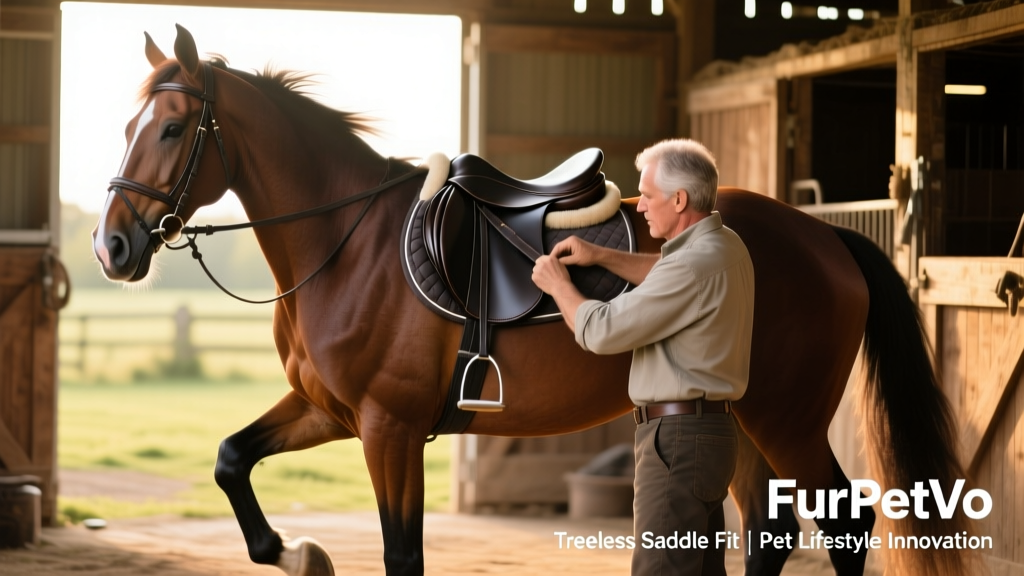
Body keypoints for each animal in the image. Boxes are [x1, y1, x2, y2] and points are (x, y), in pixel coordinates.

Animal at [92, 25, 974, 576]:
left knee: (845, 523)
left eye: (171, 129)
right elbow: (230, 459)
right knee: (770, 529)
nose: (112, 248)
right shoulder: (331, 412)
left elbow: (403, 553)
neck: (347, 243)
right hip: (748, 416)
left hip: (786, 416)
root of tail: (824, 237)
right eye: (129, 125)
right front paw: (299, 552)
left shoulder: (389, 430)